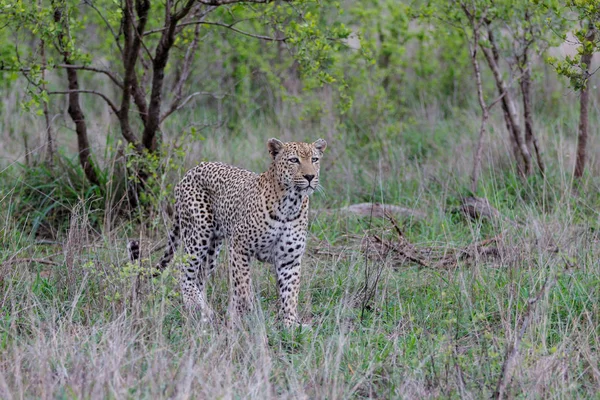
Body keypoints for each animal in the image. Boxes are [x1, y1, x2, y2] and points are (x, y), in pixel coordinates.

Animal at [155, 138, 324, 328]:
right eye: (294, 160)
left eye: (315, 160)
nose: (310, 177)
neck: (291, 203)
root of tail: (191, 171)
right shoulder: (239, 247)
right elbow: (242, 285)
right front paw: (244, 314)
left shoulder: (289, 260)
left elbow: (290, 294)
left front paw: (291, 325)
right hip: (198, 233)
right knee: (185, 270)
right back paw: (195, 305)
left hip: (213, 247)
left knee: (200, 276)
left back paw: (203, 308)